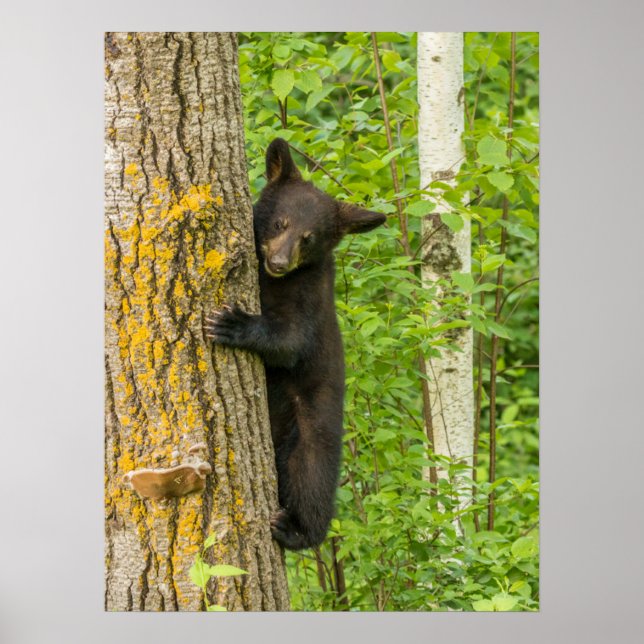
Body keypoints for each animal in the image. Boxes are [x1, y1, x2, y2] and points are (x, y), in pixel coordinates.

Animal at [205, 138, 386, 550]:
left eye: (309, 238)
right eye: (280, 223)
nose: (279, 262)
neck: (273, 281)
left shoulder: (309, 298)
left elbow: (289, 342)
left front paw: (232, 323)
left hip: (312, 429)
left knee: (310, 479)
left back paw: (296, 529)